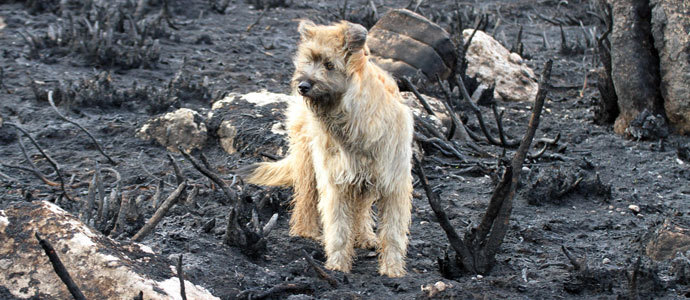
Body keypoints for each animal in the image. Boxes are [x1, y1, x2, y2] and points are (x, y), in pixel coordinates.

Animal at [242, 19, 414, 276]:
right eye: (309, 60)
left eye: (329, 64)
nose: (303, 85)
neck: (354, 121)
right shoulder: (335, 181)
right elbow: (338, 227)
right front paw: (337, 267)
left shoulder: (393, 183)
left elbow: (393, 232)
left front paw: (392, 271)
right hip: (307, 159)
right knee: (305, 198)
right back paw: (305, 232)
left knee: (361, 208)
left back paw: (364, 236)